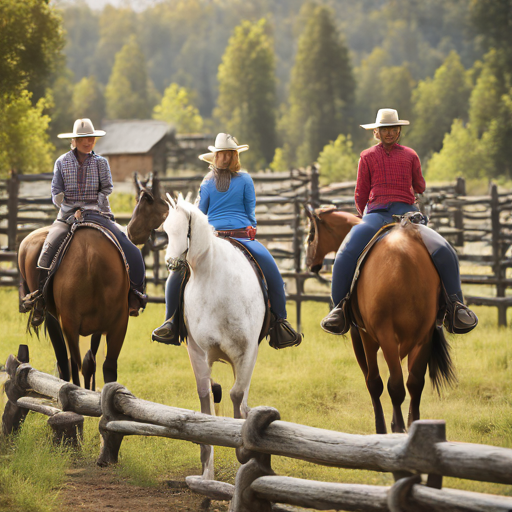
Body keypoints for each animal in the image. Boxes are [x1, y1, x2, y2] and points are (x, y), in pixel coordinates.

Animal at [164, 196, 266, 480]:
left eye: (185, 230)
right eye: (165, 230)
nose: (171, 265)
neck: (213, 280)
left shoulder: (247, 353)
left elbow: (236, 396)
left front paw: (244, 453)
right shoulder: (197, 352)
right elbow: (205, 398)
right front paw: (206, 469)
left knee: (242, 400)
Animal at [304, 204, 456, 432]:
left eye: (311, 234)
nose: (309, 263)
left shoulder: (362, 336)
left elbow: (374, 382)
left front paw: (384, 428)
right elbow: (404, 379)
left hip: (383, 335)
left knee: (393, 385)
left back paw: (398, 429)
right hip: (424, 336)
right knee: (413, 383)